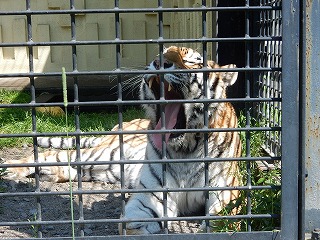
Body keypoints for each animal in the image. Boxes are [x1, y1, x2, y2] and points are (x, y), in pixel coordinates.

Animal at [3, 45, 240, 234]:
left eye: (193, 60)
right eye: (160, 53)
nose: (158, 62)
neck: (185, 148)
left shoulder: (227, 194)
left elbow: (223, 223)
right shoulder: (149, 198)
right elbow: (132, 225)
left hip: (104, 168)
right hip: (102, 155)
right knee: (52, 154)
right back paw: (11, 170)